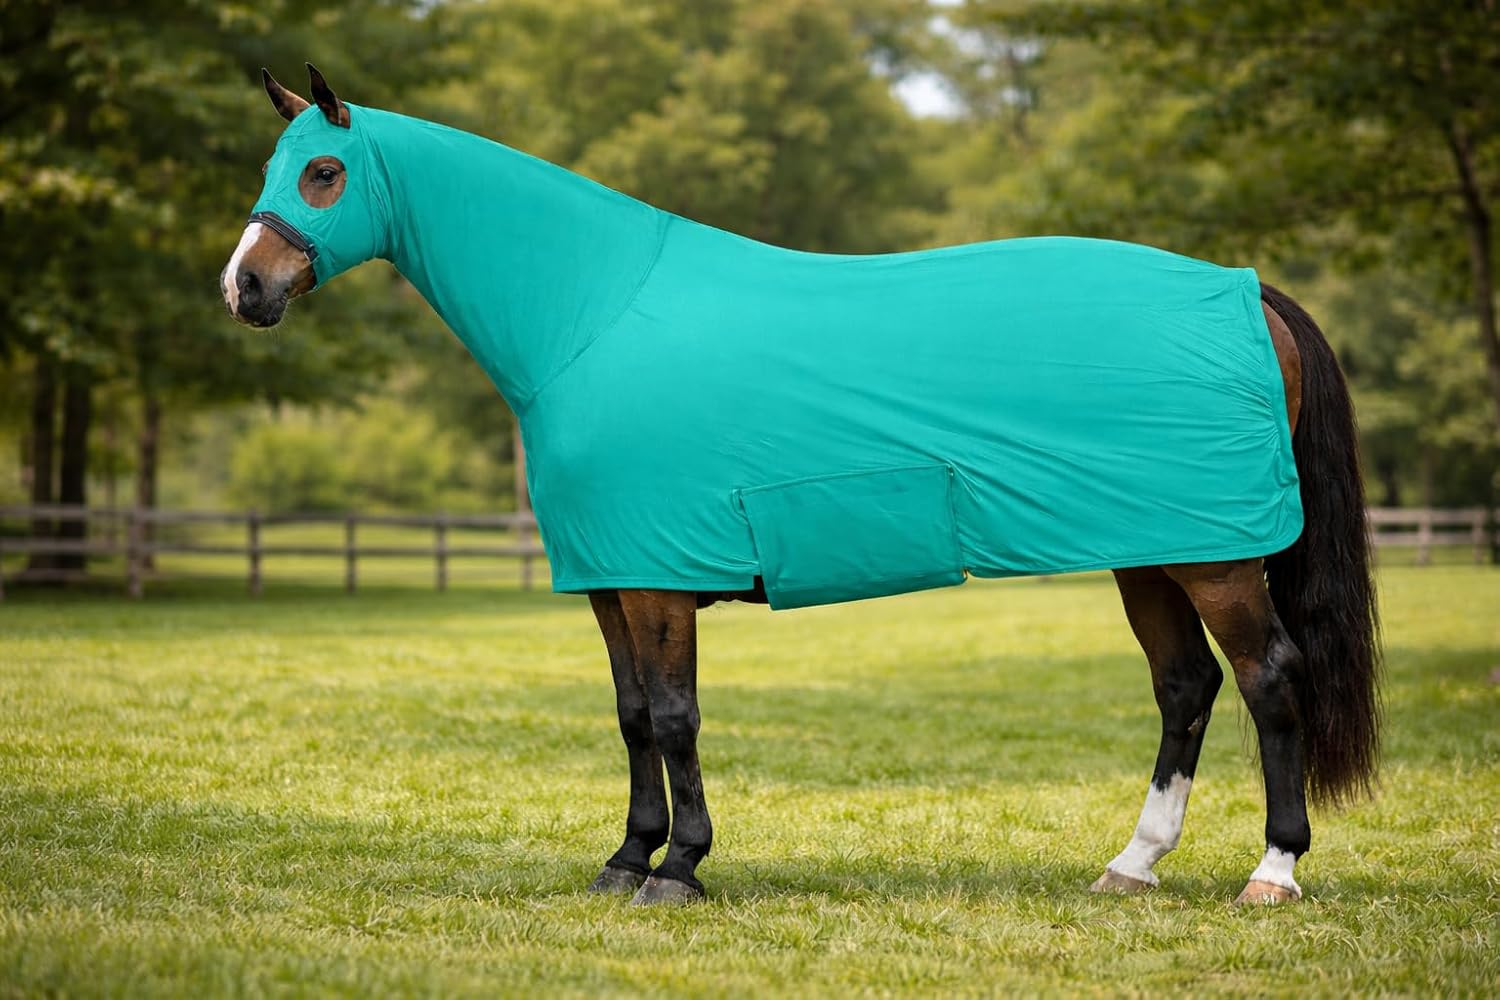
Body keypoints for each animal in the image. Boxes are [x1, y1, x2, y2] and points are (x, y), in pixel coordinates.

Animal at [222, 65, 1379, 907]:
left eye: (322, 171)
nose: (245, 286)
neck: (589, 315)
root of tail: (1246, 292)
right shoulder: (609, 579)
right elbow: (631, 716)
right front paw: (626, 859)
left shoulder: (657, 578)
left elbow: (676, 716)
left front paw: (680, 870)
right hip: (1150, 550)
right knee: (1186, 688)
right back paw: (1131, 865)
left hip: (1215, 555)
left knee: (1270, 677)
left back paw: (1273, 871)